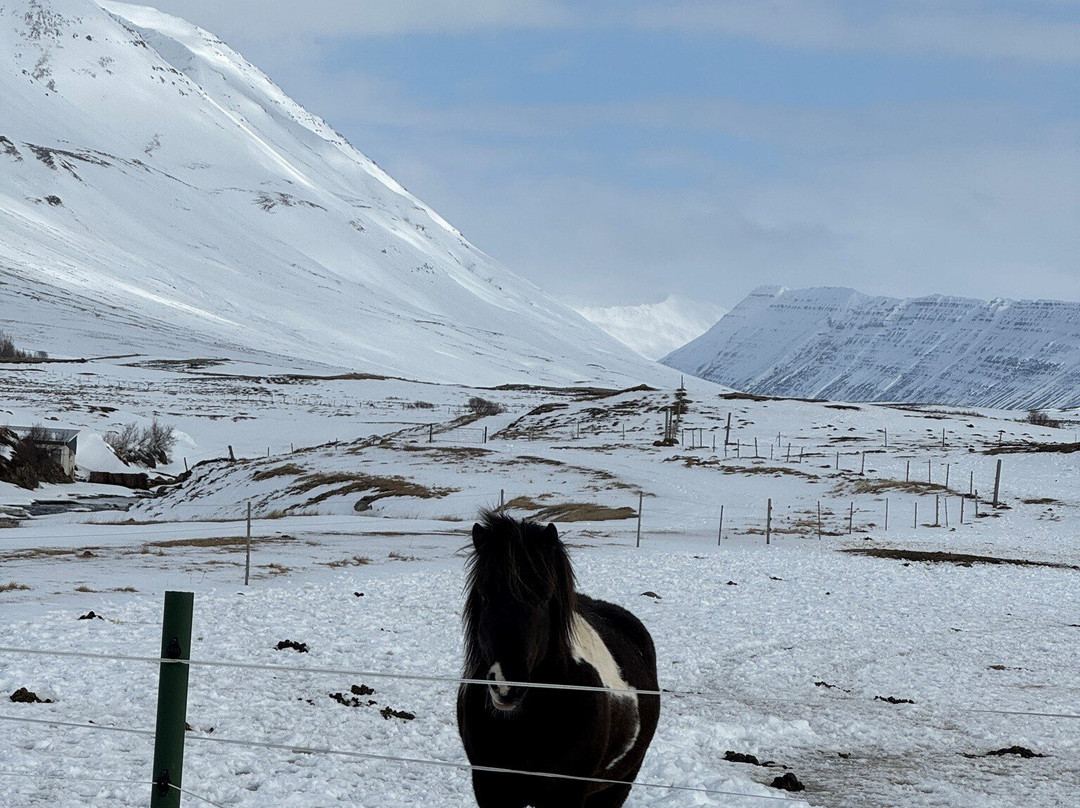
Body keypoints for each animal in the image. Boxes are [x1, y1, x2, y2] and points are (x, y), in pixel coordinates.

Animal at [453, 512, 656, 808]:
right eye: (484, 594)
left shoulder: (565, 794)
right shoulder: (491, 788)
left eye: (544, 597)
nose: (506, 684)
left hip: (618, 786)